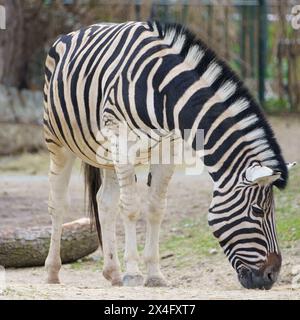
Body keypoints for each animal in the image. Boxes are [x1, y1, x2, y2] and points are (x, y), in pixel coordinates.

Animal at [43, 21, 296, 288]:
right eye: (257, 211)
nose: (271, 276)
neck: (163, 92)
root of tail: (77, 31)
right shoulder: (123, 142)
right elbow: (131, 207)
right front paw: (133, 273)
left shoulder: (169, 148)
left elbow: (156, 208)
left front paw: (154, 274)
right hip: (58, 142)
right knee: (58, 203)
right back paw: (53, 272)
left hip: (106, 153)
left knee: (105, 202)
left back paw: (113, 272)